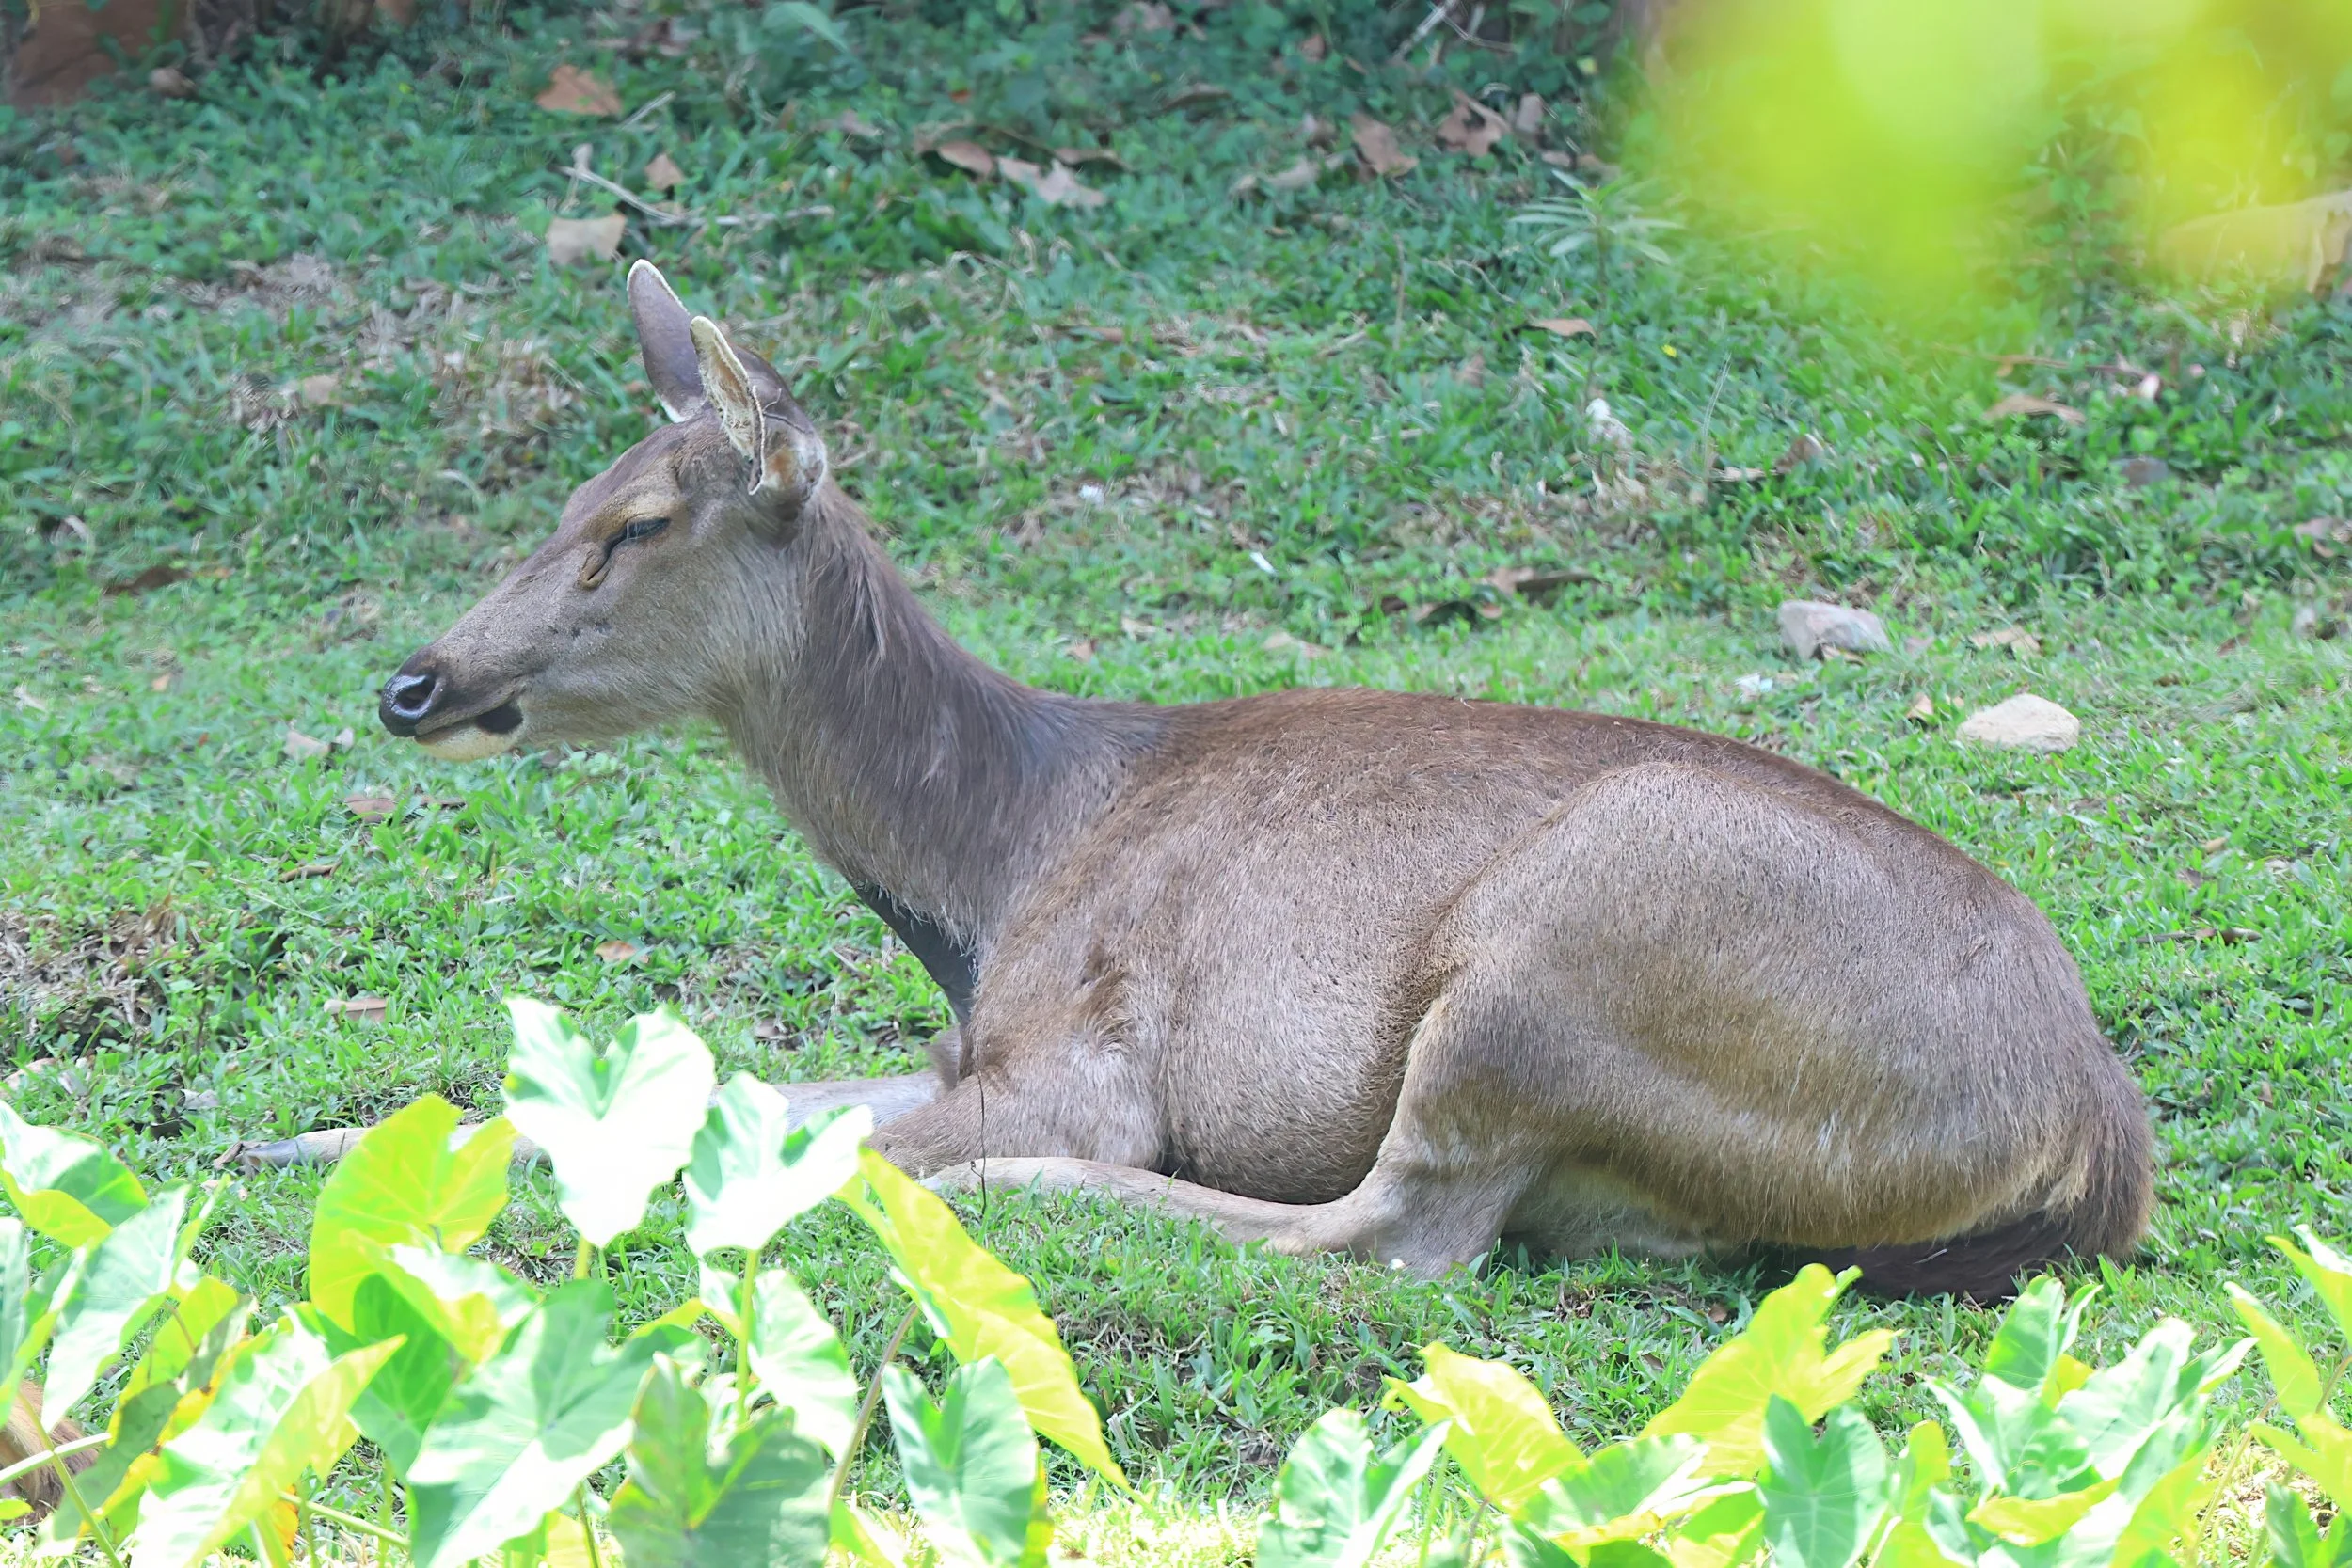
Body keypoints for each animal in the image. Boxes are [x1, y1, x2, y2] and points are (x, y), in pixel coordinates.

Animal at [376, 261, 2153, 1298]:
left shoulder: (1084, 1057)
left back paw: (1033, 1193)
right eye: (573, 498)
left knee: (1400, 1233)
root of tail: (2091, 1132)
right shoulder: (958, 1045)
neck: (990, 872)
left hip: (1555, 960)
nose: (415, 681)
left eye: (637, 523)